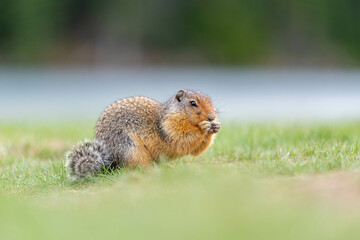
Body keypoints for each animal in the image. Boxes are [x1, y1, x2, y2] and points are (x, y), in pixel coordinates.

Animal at [66, 89, 221, 178]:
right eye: (193, 103)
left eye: (210, 100)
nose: (212, 116)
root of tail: (108, 163)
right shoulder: (170, 126)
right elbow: (182, 139)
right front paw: (204, 127)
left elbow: (195, 149)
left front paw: (215, 127)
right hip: (130, 150)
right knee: (136, 168)